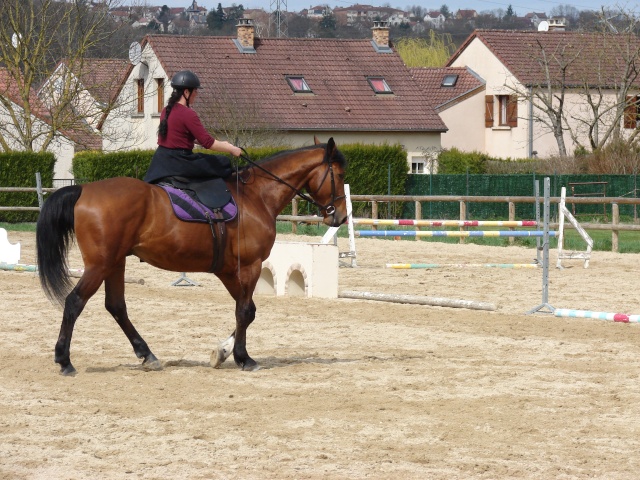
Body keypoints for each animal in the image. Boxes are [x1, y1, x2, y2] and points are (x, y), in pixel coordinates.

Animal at [37, 137, 348, 374]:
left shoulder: (228, 270)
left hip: (115, 263)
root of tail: (83, 190)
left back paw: (147, 355)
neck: (256, 195)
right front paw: (243, 358)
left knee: (116, 306)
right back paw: (64, 360)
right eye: (341, 175)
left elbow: (246, 310)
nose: (341, 217)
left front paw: (223, 351)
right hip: (100, 265)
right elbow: (245, 311)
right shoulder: (249, 265)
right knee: (74, 302)